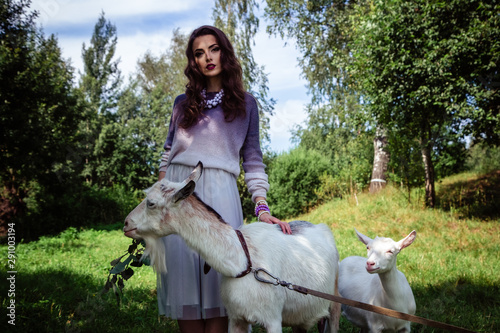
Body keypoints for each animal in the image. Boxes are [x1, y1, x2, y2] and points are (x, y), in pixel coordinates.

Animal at [122, 162, 340, 330]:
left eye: (151, 203)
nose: (126, 223)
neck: (244, 260)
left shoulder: (273, 319)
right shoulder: (236, 317)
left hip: (334, 303)